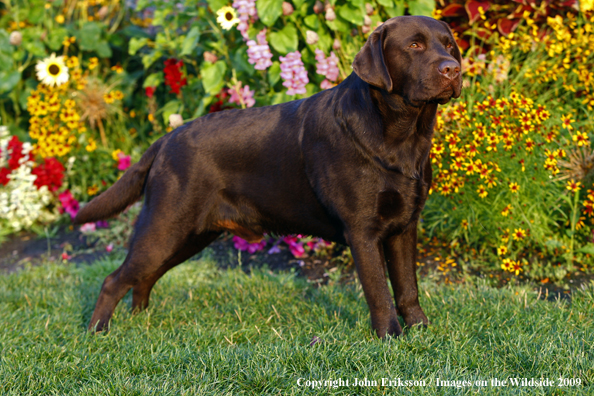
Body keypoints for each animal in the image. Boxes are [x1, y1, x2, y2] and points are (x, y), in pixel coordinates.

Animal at [74, 14, 460, 338]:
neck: (402, 137)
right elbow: (380, 291)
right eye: (414, 45)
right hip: (165, 227)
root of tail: (166, 139)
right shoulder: (363, 231)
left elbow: (408, 287)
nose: (453, 69)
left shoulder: (404, 226)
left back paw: (141, 320)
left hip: (188, 235)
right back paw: (97, 332)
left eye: (449, 45)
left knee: (143, 278)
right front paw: (390, 337)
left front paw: (421, 332)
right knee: (114, 279)